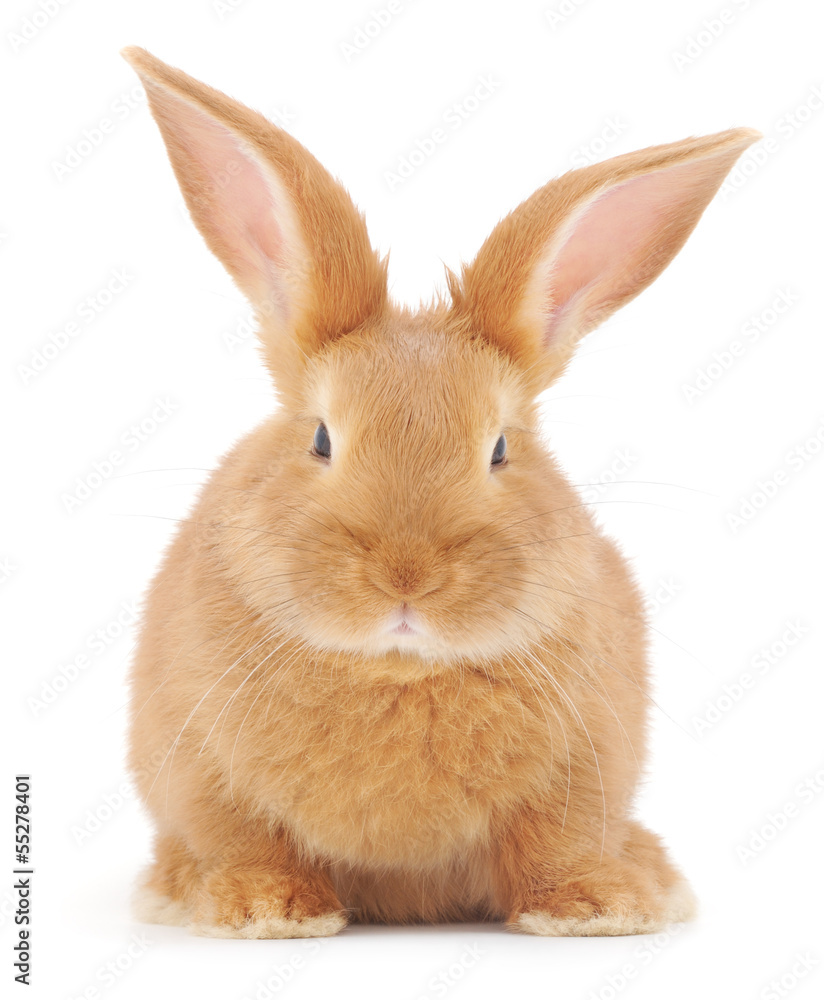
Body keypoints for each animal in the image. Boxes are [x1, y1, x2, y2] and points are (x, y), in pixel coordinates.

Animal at [121, 46, 759, 939]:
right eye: (321, 438)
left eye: (500, 449)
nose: (407, 575)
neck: (399, 668)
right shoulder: (203, 762)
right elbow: (243, 837)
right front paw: (267, 910)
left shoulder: (584, 764)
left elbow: (557, 842)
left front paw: (595, 908)